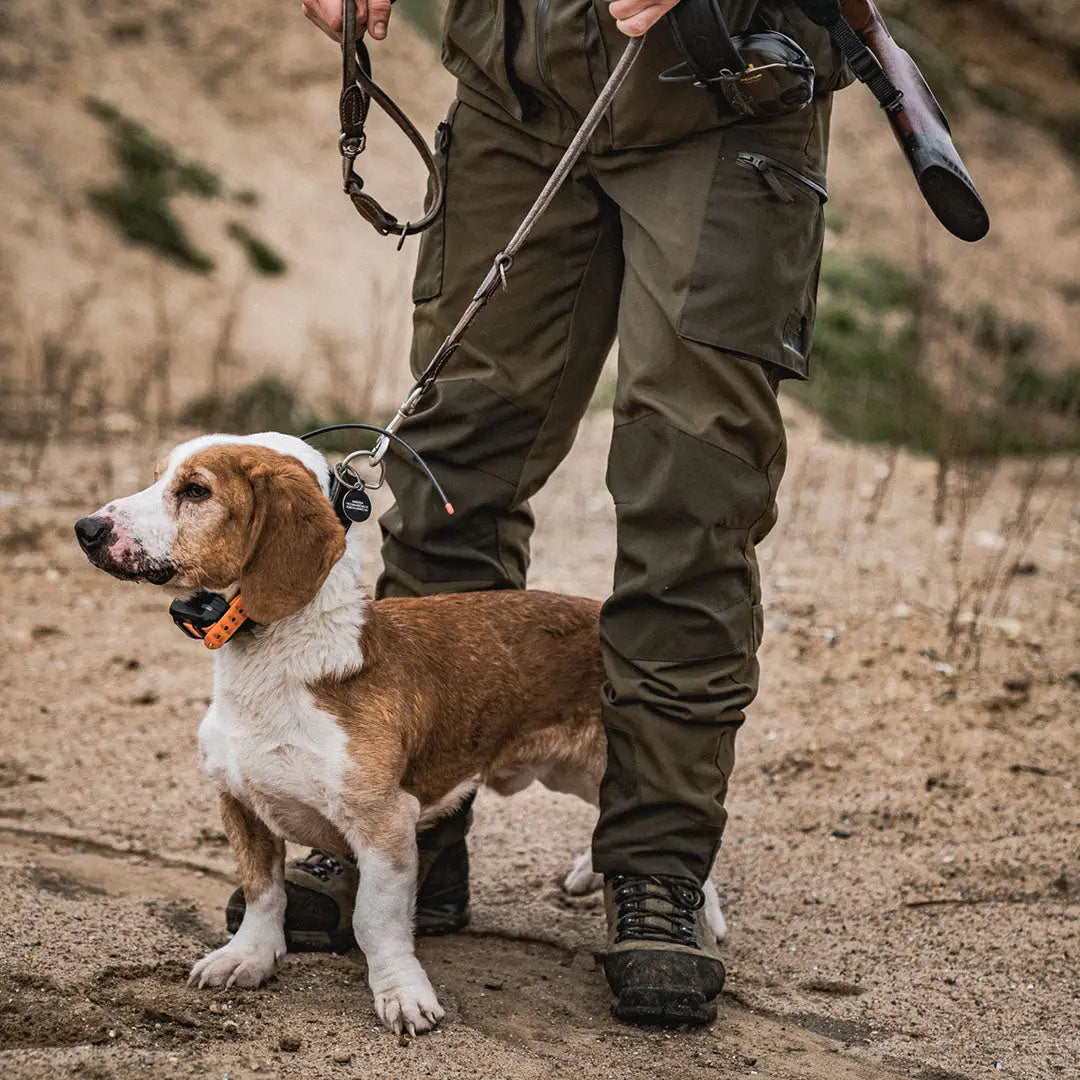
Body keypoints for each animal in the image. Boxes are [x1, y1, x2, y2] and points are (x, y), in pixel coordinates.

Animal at [73, 432, 725, 1036]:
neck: (279, 661)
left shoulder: (384, 825)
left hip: (606, 761)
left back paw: (696, 916)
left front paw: (401, 993)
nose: (86, 529)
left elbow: (375, 922)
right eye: (158, 476)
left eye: (195, 491)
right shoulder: (240, 802)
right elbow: (263, 892)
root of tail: (599, 617)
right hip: (571, 770)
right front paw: (249, 958)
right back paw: (594, 871)